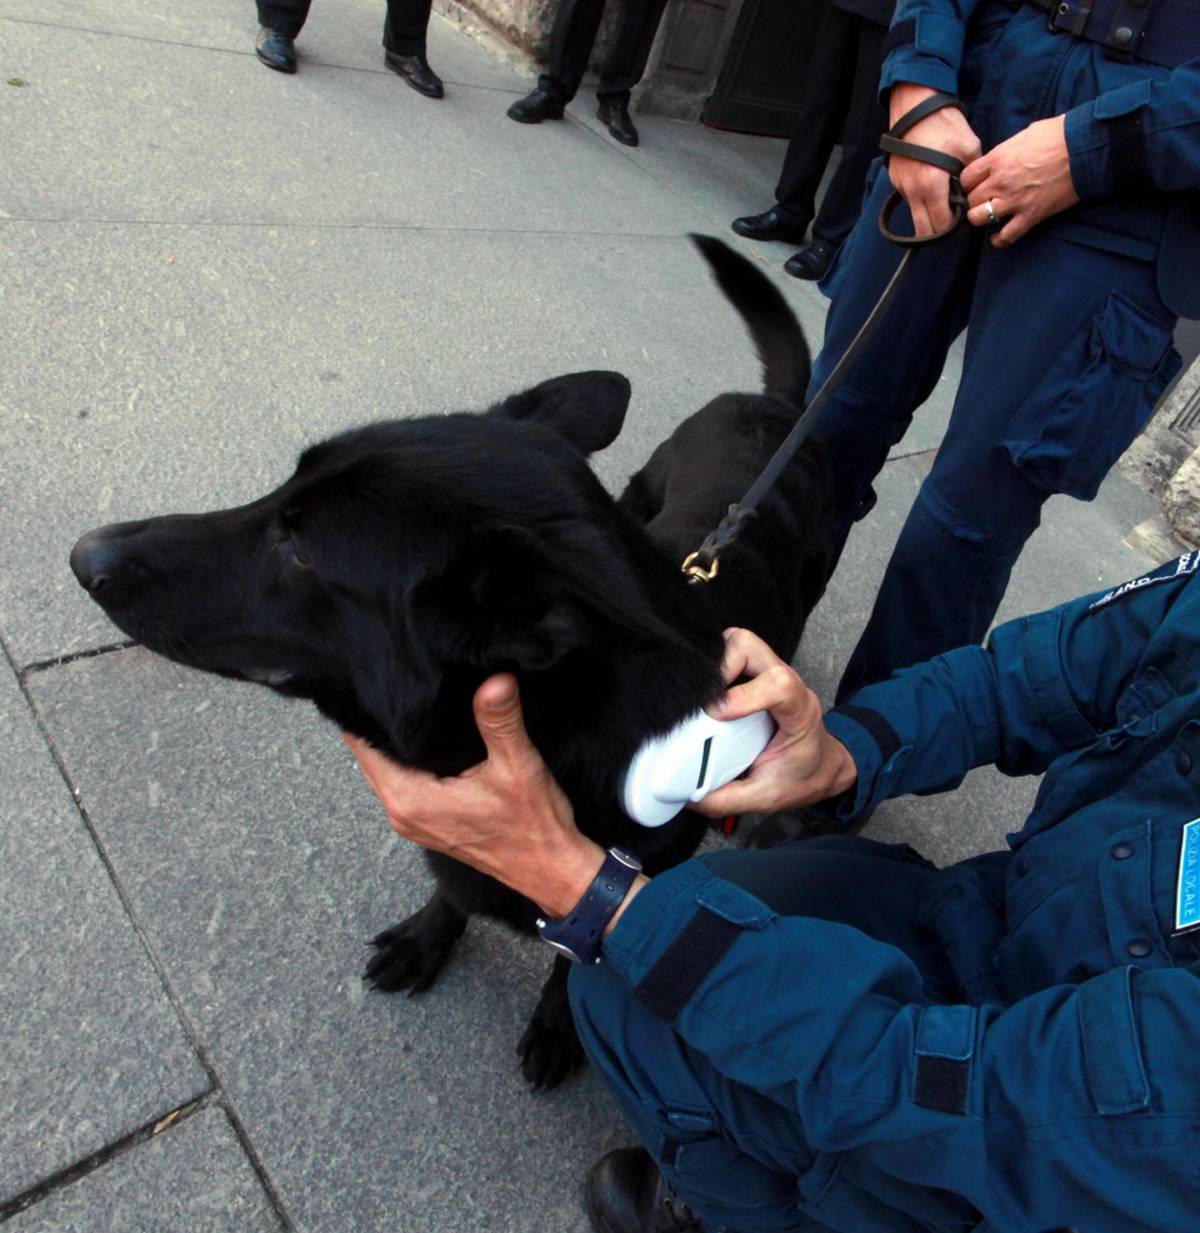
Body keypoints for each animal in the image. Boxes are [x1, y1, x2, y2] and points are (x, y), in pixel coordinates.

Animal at [65, 237, 833, 1089]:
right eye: (286, 487)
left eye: (300, 548)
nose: (84, 555)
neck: (553, 734)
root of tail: (781, 409)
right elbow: (453, 889)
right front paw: (428, 936)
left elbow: (576, 956)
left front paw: (558, 1018)